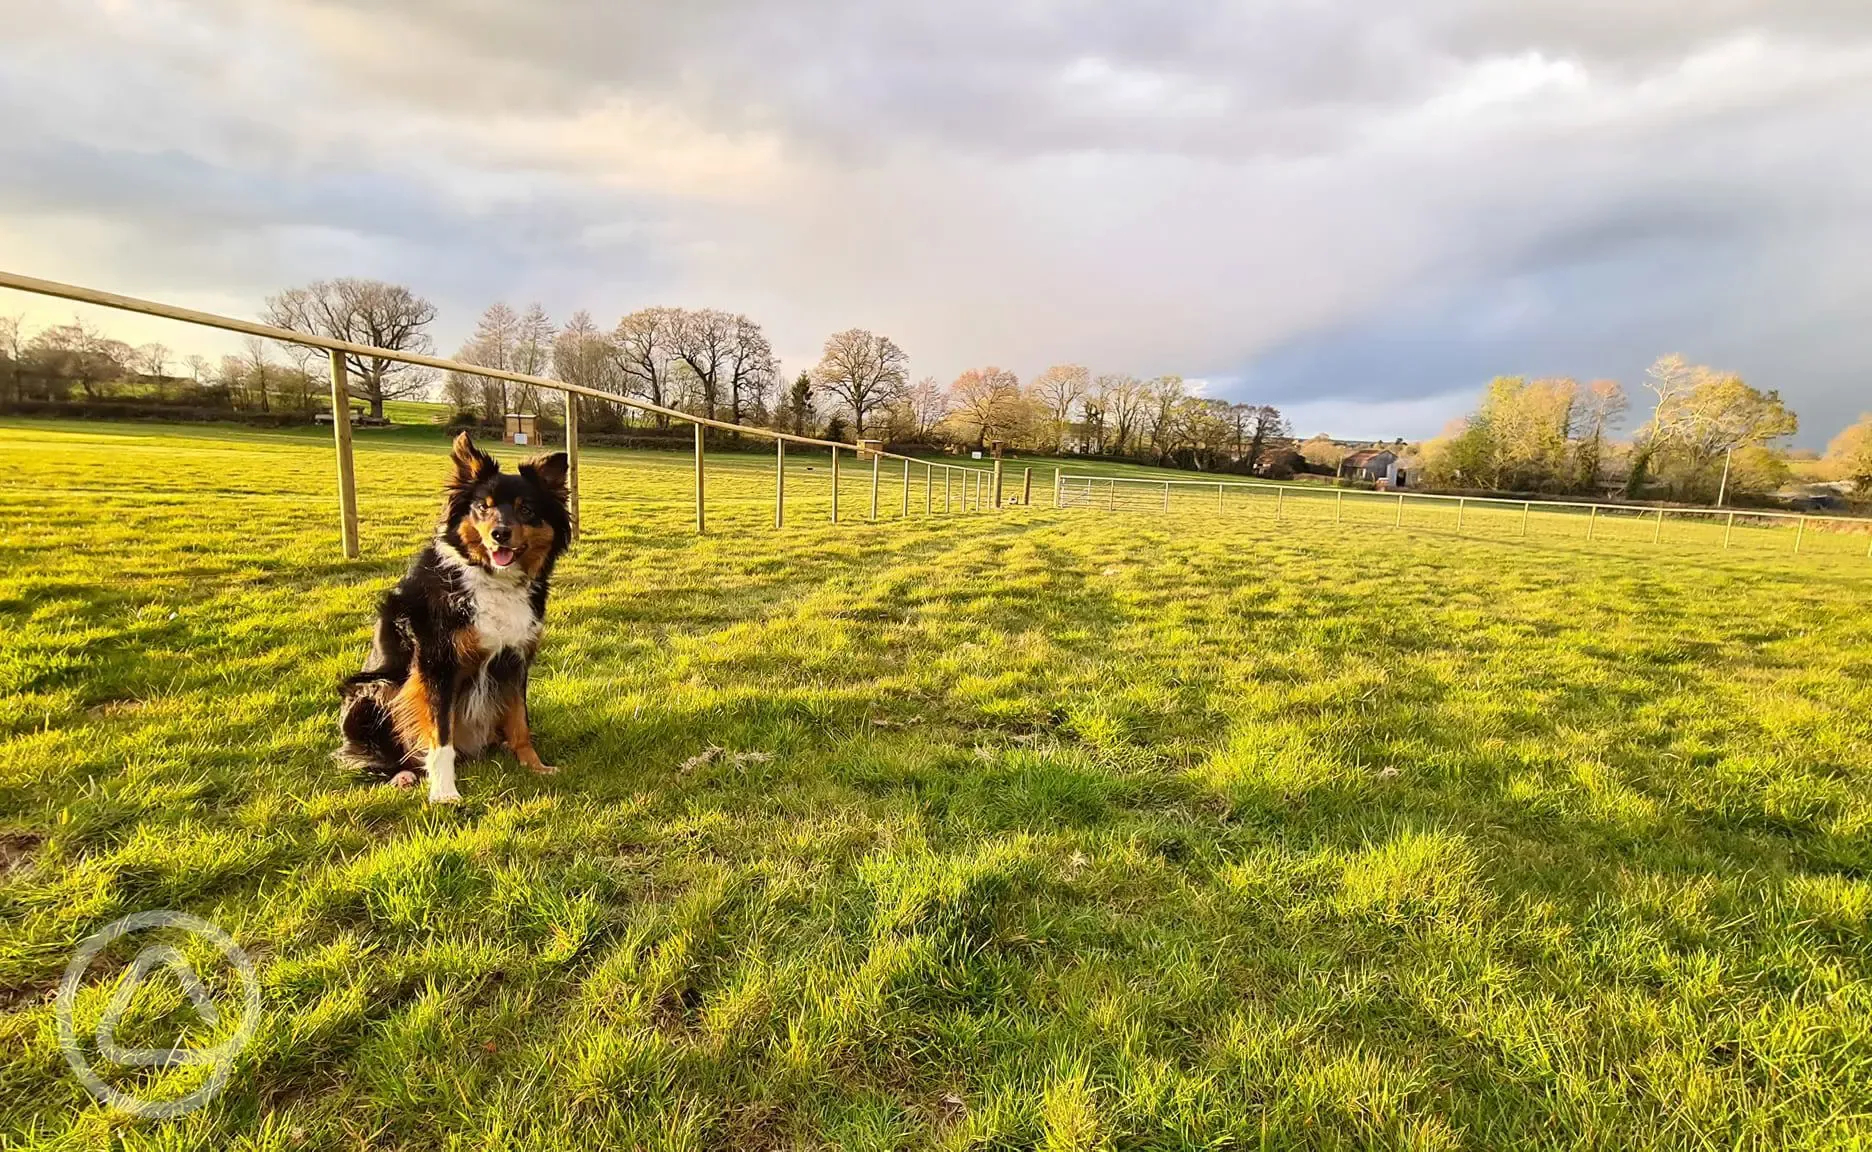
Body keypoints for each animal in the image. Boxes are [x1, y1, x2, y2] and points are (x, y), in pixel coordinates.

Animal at [336, 432, 569, 801]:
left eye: (527, 509)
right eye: (482, 506)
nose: (500, 533)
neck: (492, 580)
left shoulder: (515, 661)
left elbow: (521, 723)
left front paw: (536, 766)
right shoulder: (437, 664)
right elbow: (440, 736)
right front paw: (444, 792)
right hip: (376, 689)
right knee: (373, 756)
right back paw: (402, 776)